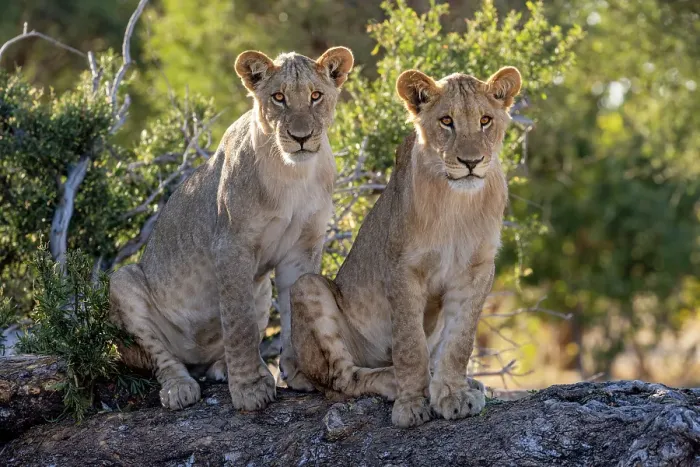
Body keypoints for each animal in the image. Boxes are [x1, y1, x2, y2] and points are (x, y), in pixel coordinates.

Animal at [109, 46, 354, 411]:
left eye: (315, 96)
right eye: (278, 97)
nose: (301, 137)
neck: (293, 174)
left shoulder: (303, 248)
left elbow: (294, 314)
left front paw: (298, 374)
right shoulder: (232, 245)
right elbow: (238, 323)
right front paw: (250, 389)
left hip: (262, 289)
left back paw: (222, 367)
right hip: (123, 282)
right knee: (161, 358)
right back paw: (180, 388)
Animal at [290, 66, 521, 427]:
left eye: (485, 120)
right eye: (446, 121)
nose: (471, 161)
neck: (457, 203)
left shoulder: (477, 269)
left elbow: (460, 341)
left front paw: (453, 394)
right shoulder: (403, 268)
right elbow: (410, 343)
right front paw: (412, 404)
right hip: (307, 288)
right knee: (340, 380)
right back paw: (390, 379)